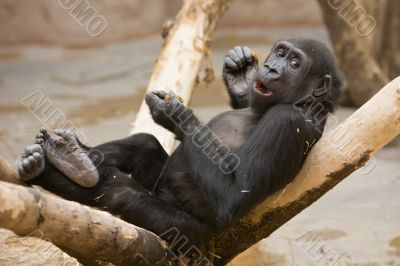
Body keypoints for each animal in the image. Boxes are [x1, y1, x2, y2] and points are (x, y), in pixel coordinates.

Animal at [15, 37, 342, 249]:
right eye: (280, 53)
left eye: (295, 63)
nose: (272, 68)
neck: (303, 103)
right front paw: (241, 74)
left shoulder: (287, 122)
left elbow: (236, 193)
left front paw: (174, 113)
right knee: (144, 144)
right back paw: (65, 157)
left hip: (188, 232)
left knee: (121, 193)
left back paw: (73, 169)